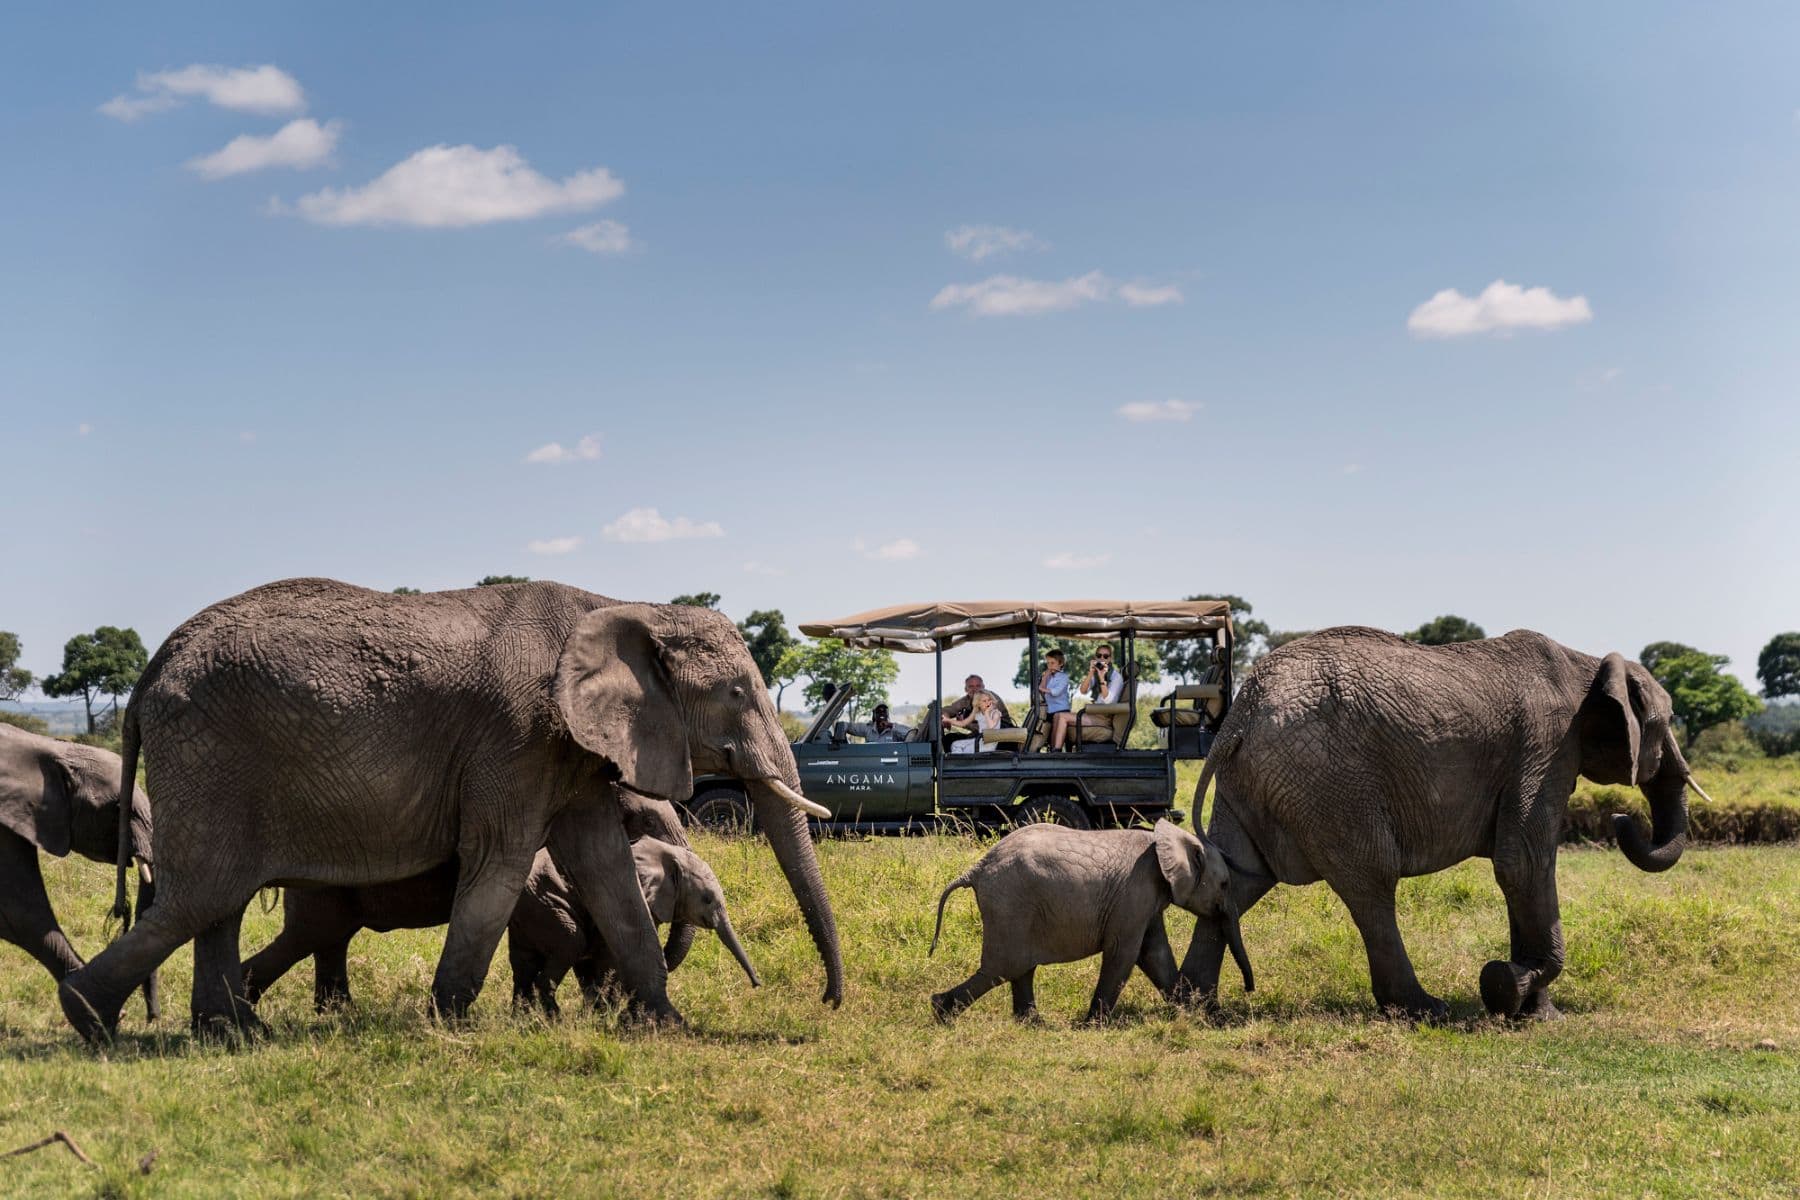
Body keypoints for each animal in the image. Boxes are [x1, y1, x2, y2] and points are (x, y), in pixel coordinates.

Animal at [240, 840, 757, 1016]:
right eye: (708, 900)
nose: (758, 986)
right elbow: (601, 950)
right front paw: (610, 1011)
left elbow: (598, 955)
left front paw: (602, 1012)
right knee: (310, 937)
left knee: (327, 939)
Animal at [928, 820, 1252, 1023]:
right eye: (1225, 884)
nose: (1249, 990)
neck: (1167, 839)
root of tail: (977, 869)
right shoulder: (1135, 892)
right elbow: (1125, 953)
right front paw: (1093, 1025)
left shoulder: (1147, 901)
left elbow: (1156, 954)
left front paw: (1190, 1014)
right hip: (1010, 905)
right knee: (1002, 968)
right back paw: (941, 1012)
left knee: (1019, 968)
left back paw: (1033, 1024)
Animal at [1177, 627, 1709, 1022]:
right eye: (1666, 723)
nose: (1623, 818)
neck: (1589, 664)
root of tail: (1239, 717)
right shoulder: (1547, 747)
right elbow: (1523, 862)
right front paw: (1505, 987)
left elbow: (1517, 868)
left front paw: (1531, 1009)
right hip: (1327, 779)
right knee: (1372, 883)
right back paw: (1423, 1009)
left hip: (1260, 780)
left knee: (1238, 878)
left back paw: (1192, 1003)